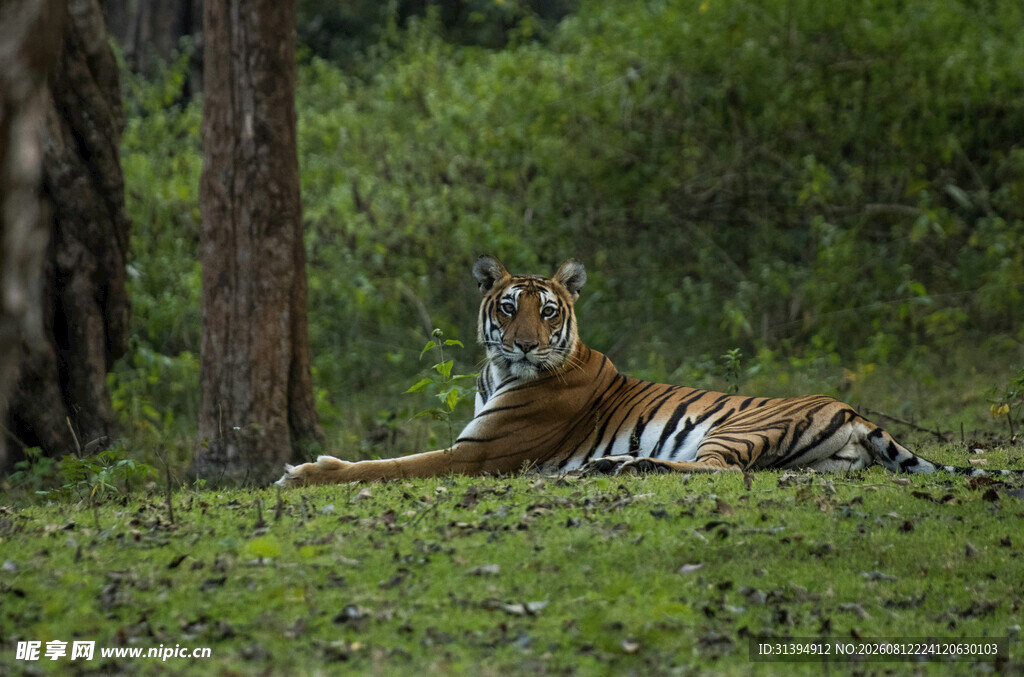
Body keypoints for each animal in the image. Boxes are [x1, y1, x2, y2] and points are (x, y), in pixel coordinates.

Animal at [277, 255, 1019, 486]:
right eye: (509, 308)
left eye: (549, 311)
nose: (523, 346)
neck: (500, 373)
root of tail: (855, 412)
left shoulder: (474, 455)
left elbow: (386, 464)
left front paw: (304, 471)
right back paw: (610, 465)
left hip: (731, 428)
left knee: (716, 472)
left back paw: (617, 465)